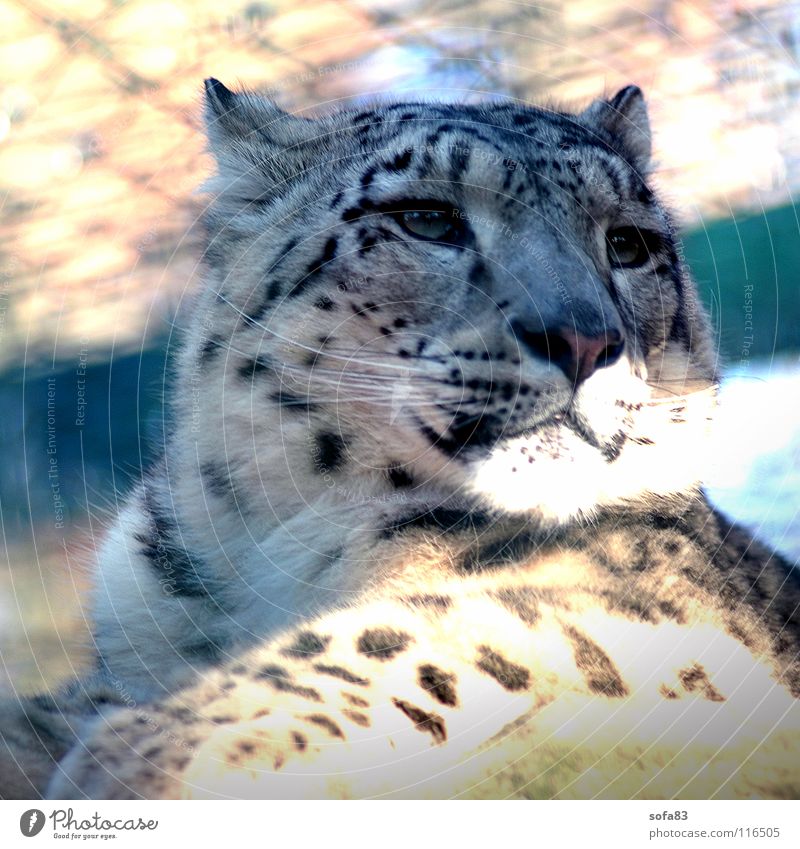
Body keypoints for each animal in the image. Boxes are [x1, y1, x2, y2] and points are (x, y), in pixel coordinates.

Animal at [1, 76, 800, 800]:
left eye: (628, 243)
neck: (277, 540)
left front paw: (150, 748)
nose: (583, 340)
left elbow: (401, 629)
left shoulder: (644, 598)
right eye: (427, 219)